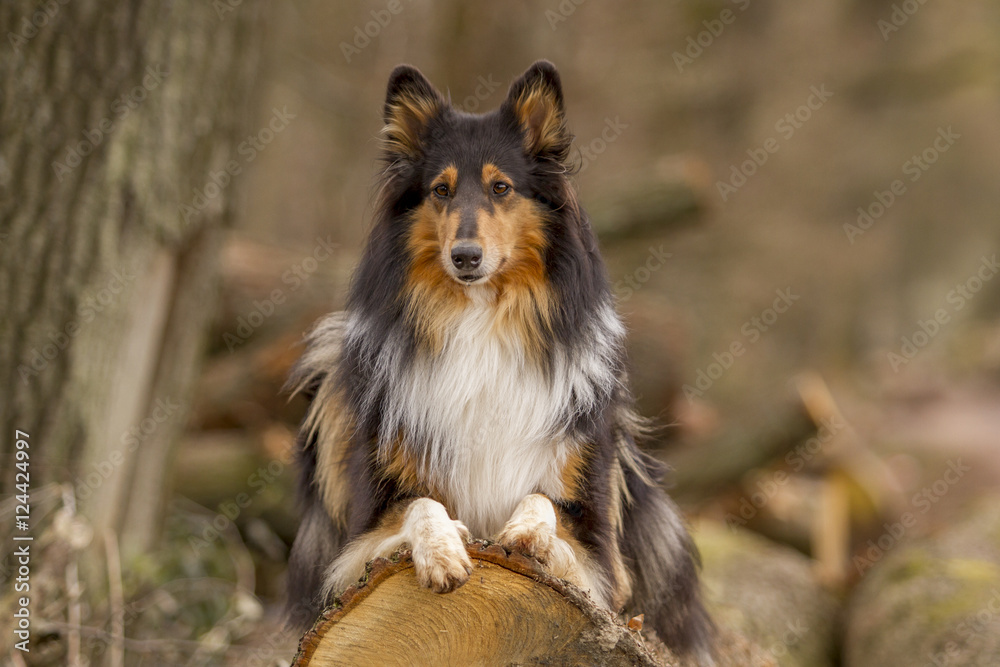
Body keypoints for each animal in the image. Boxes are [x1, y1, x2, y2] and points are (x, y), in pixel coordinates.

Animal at [286, 60, 716, 660]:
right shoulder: (362, 538)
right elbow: (422, 507)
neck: (482, 315)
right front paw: (445, 551)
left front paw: (526, 535)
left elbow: (544, 503)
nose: (465, 257)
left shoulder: (597, 548)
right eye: (441, 190)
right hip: (330, 360)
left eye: (501, 187)